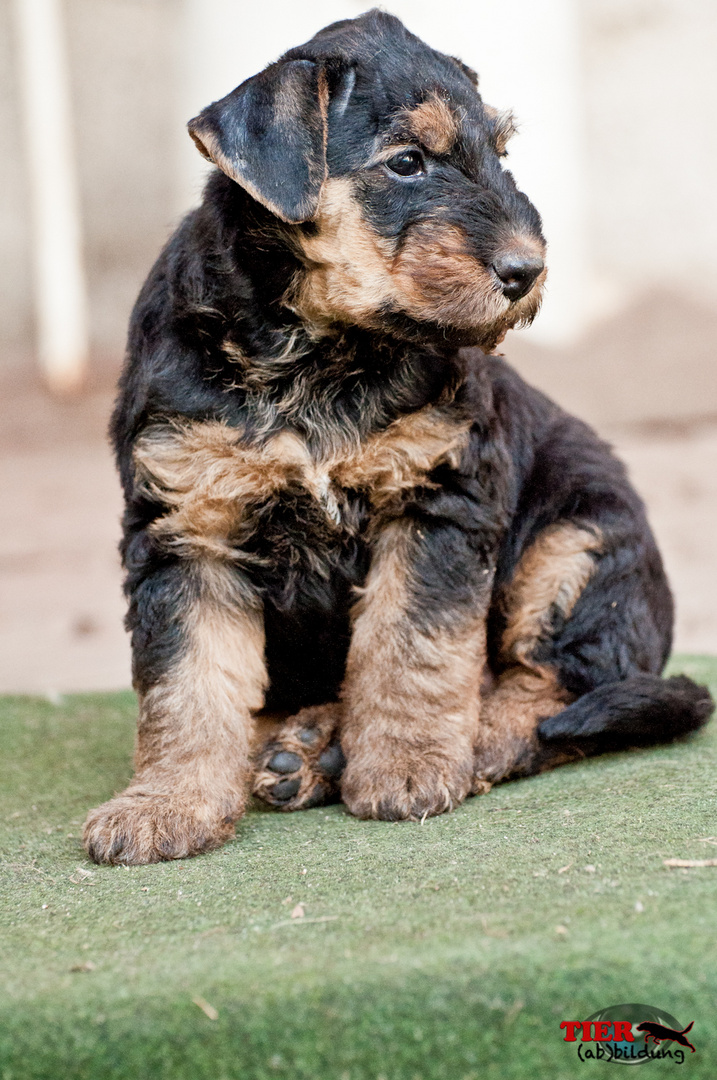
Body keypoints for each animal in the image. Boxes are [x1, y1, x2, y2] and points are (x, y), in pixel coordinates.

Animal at [84, 10, 712, 868]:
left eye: (499, 151)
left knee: (552, 693)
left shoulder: (435, 503)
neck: (313, 351)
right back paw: (303, 744)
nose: (526, 271)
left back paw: (382, 749)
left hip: (576, 544)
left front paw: (408, 768)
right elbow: (187, 680)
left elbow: (413, 648)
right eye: (406, 161)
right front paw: (163, 806)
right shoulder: (186, 528)